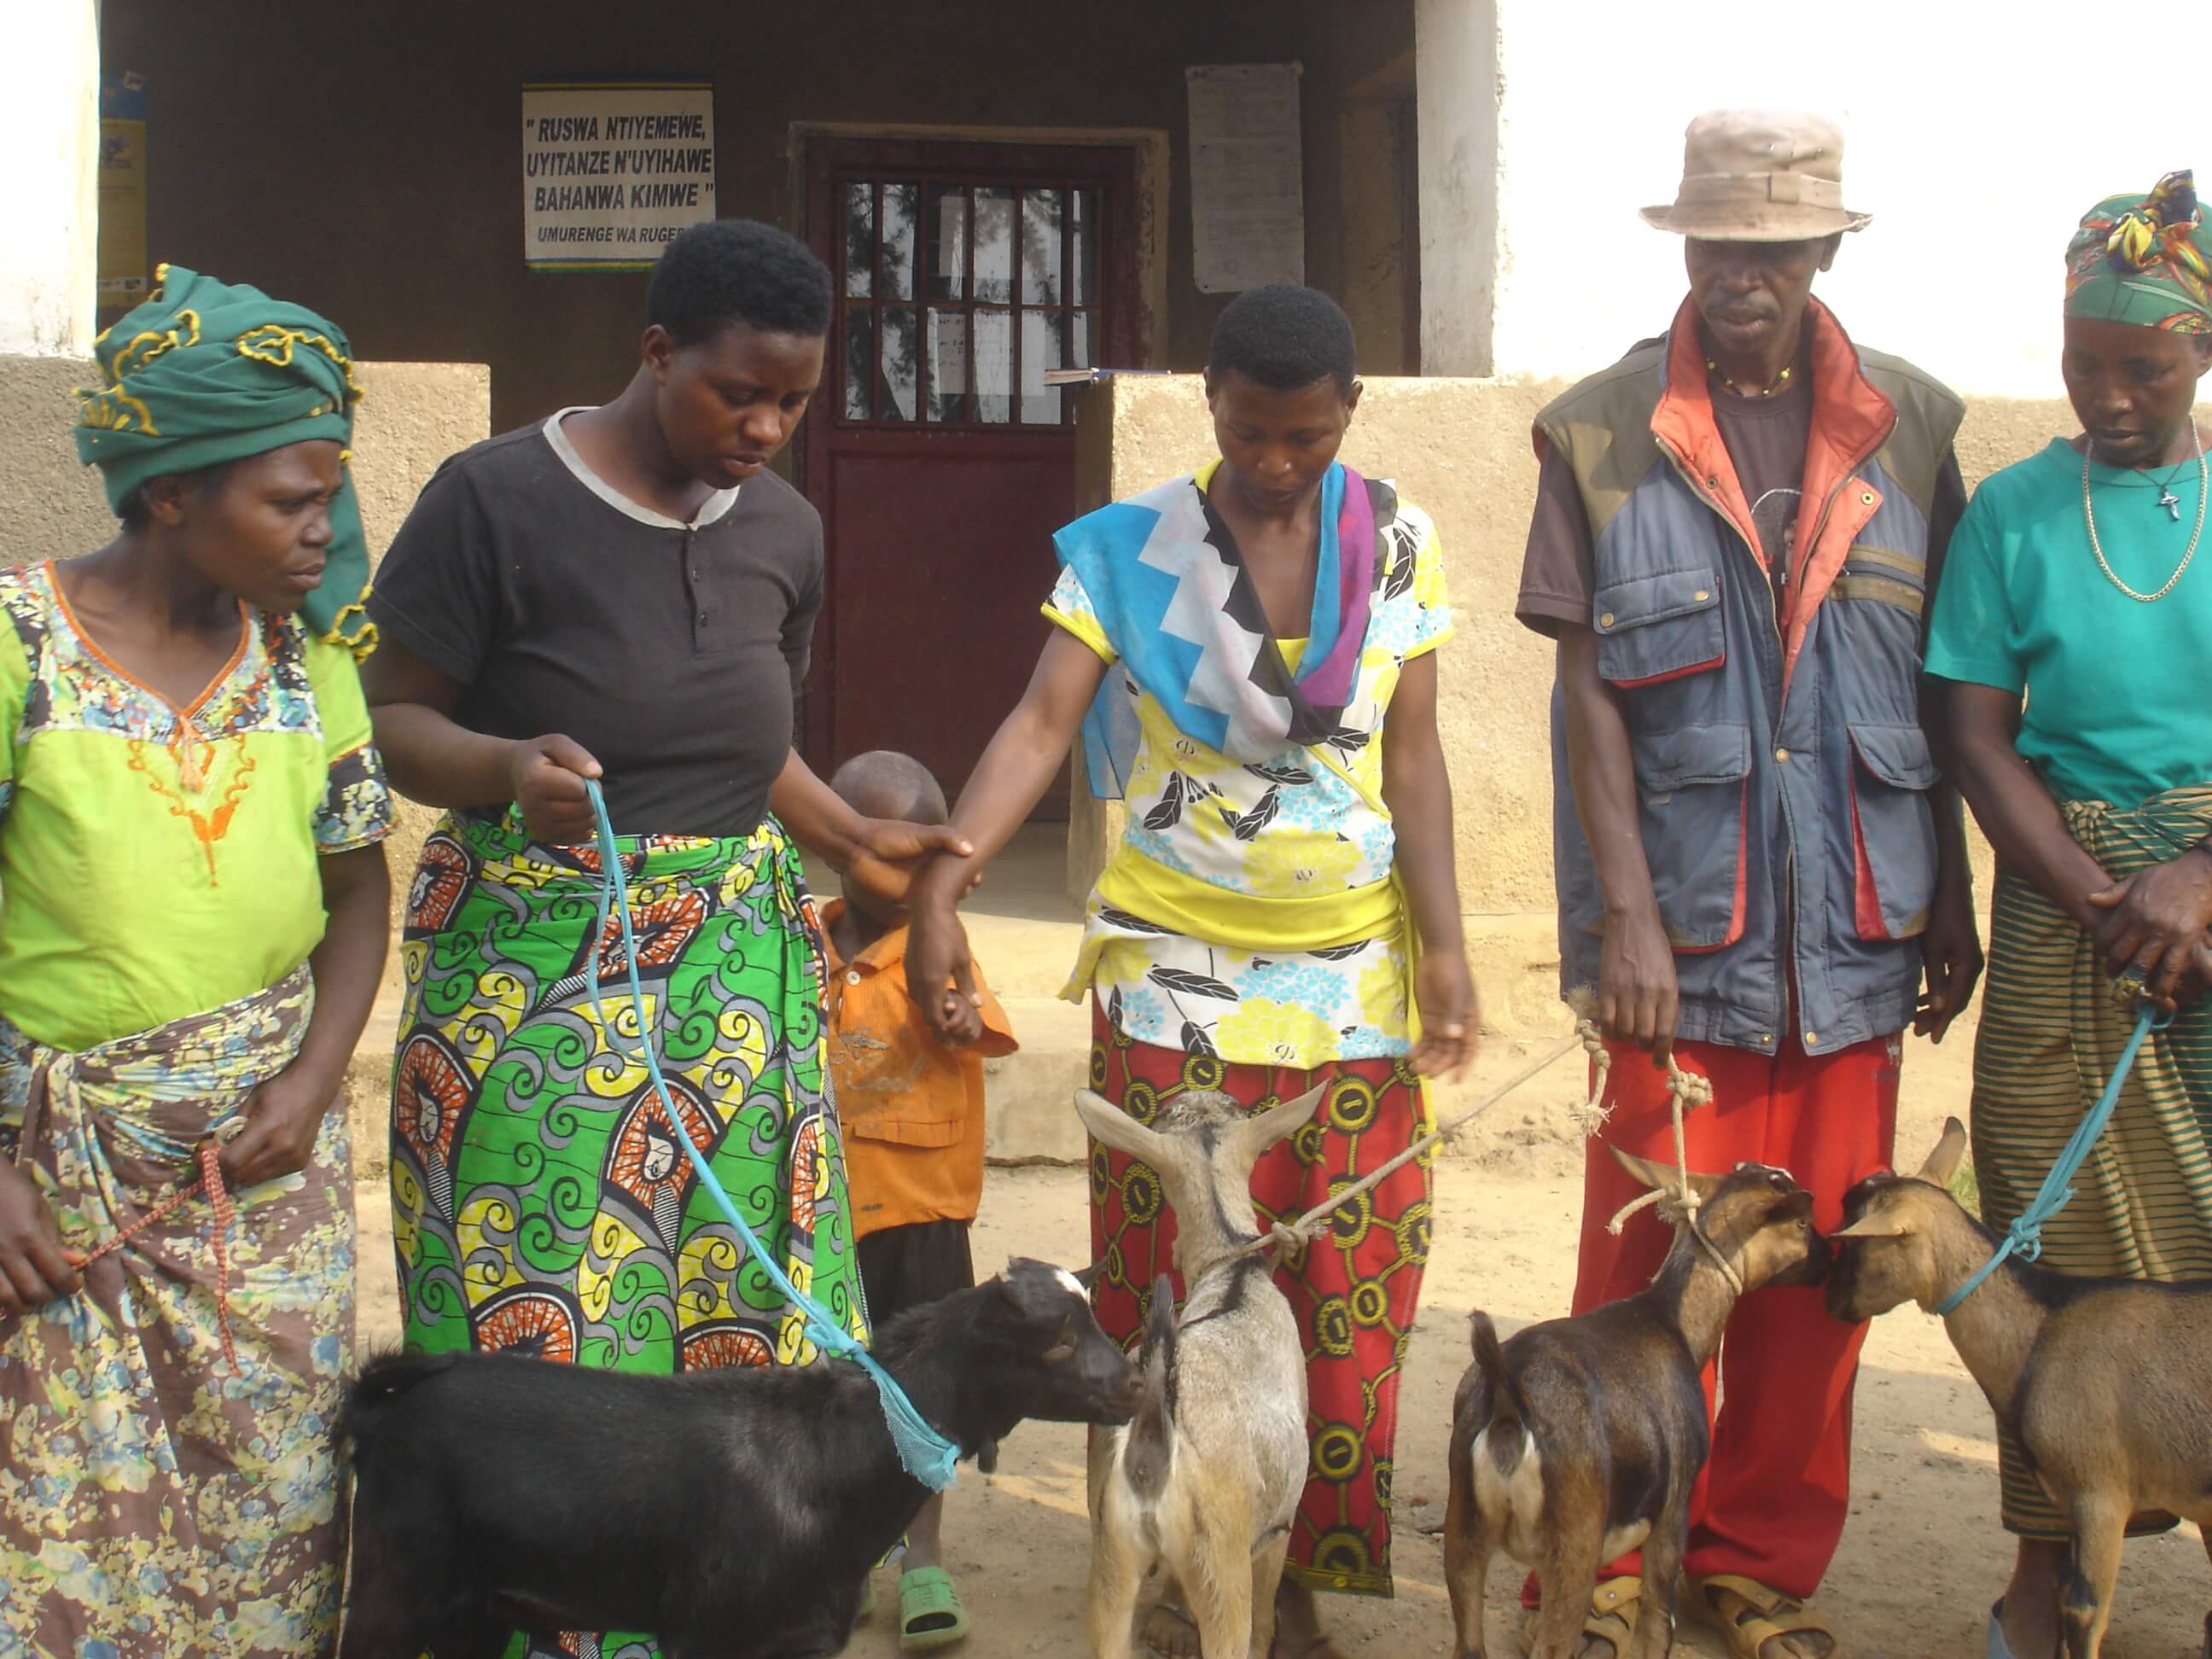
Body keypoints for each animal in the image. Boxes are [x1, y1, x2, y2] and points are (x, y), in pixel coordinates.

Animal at [349, 1256, 1141, 1659]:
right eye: (1057, 1343)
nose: (1134, 1384)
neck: (833, 1458)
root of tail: (384, 1402)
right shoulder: (713, 1636)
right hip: (393, 1593)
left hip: (479, 1609)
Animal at [1441, 1159, 1822, 1659]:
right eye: (1801, 1222)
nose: (1831, 1259)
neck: (1670, 1318)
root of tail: (1508, 1393)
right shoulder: (1673, 1514)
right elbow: (1658, 1623)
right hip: (1573, 1551)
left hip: (1463, 1537)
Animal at [1822, 1123, 2212, 1654]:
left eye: (1855, 1243)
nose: (1830, 1300)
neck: (2043, 1330)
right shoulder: (2071, 1503)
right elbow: (2062, 1593)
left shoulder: (2101, 1493)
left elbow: (2084, 1610)